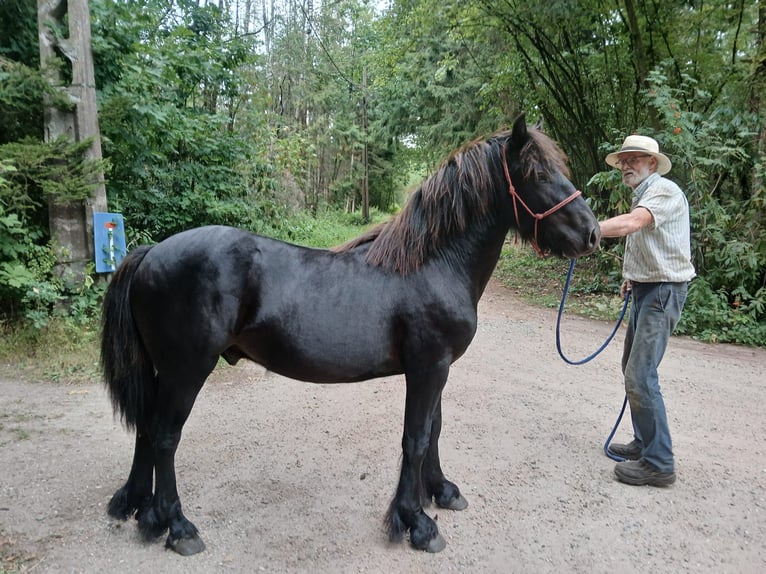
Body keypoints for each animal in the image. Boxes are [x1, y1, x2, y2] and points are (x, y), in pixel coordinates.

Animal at [101, 114, 600, 556]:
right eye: (538, 172)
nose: (593, 234)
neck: (434, 264)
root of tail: (149, 253)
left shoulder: (437, 370)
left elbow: (435, 430)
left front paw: (441, 491)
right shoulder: (427, 369)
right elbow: (416, 438)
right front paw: (416, 522)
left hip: (164, 372)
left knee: (146, 430)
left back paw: (141, 510)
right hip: (186, 371)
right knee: (165, 437)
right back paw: (177, 526)